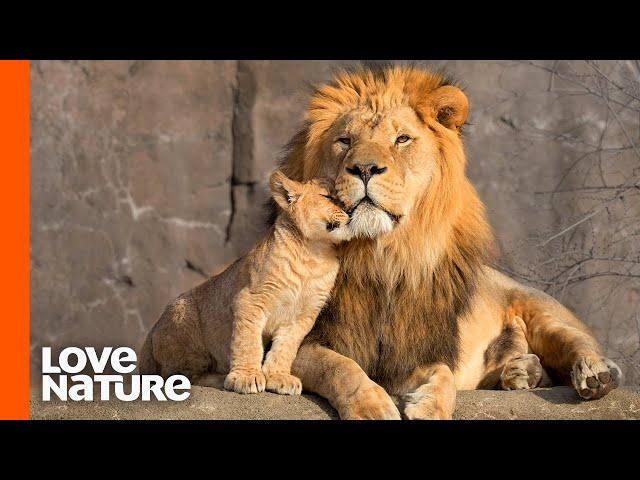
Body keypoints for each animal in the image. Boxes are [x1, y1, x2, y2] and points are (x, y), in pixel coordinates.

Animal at [139, 64, 620, 420]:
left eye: (401, 139)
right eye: (345, 141)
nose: (366, 168)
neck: (383, 257)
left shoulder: (416, 347)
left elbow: (443, 375)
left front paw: (430, 408)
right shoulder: (315, 339)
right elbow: (343, 368)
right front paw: (373, 406)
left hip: (538, 306)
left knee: (577, 341)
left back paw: (595, 374)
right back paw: (522, 371)